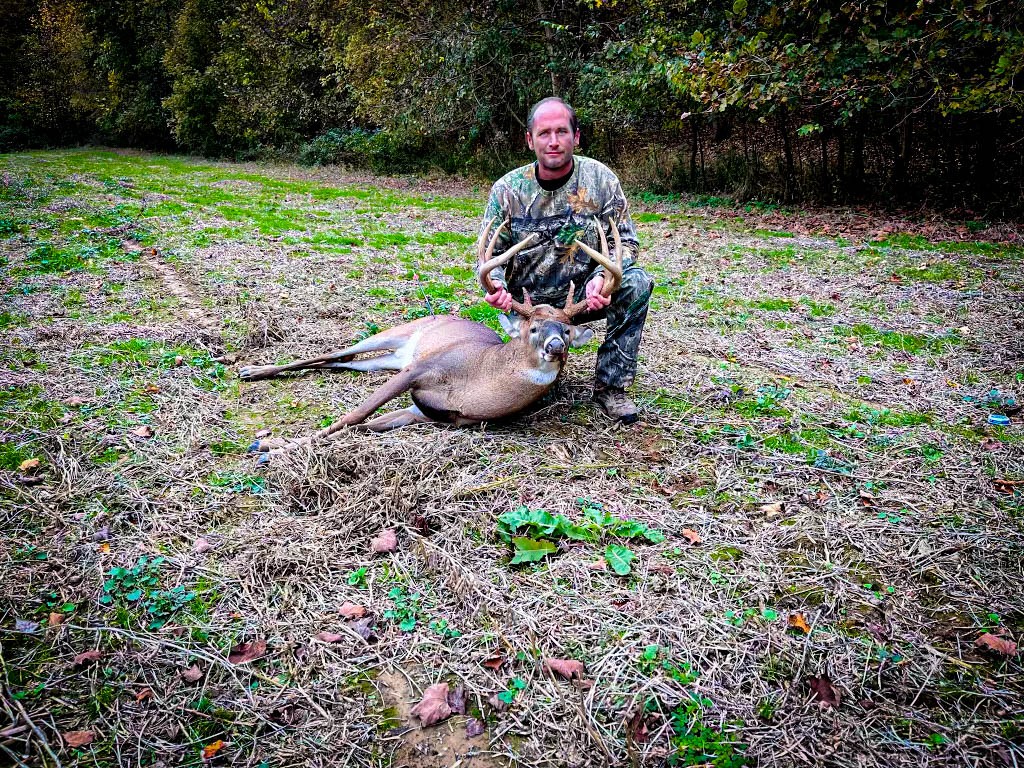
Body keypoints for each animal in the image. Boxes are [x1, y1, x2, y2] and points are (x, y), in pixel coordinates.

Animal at [240, 216, 624, 458]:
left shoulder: (434, 414)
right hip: (398, 336)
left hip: (392, 360)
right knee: (334, 353)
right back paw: (251, 370)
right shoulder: (420, 370)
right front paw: (269, 447)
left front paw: (272, 447)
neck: (477, 382)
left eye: (567, 331)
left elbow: (363, 426)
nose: (555, 346)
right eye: (533, 329)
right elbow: (352, 417)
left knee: (344, 362)